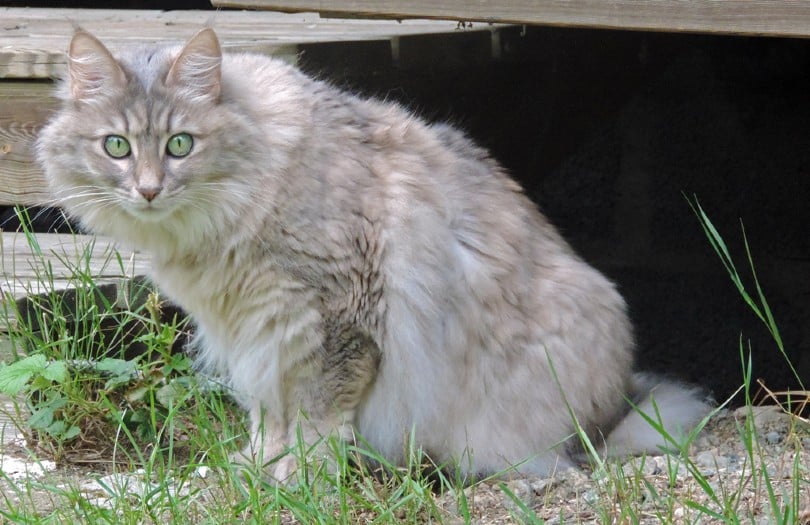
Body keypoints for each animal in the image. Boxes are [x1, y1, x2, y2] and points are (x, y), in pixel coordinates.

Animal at [38, 26, 708, 482]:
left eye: (180, 145)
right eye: (117, 147)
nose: (149, 190)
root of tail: (619, 406)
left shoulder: (335, 315)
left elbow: (316, 414)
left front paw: (301, 476)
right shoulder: (256, 332)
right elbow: (268, 413)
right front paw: (258, 467)